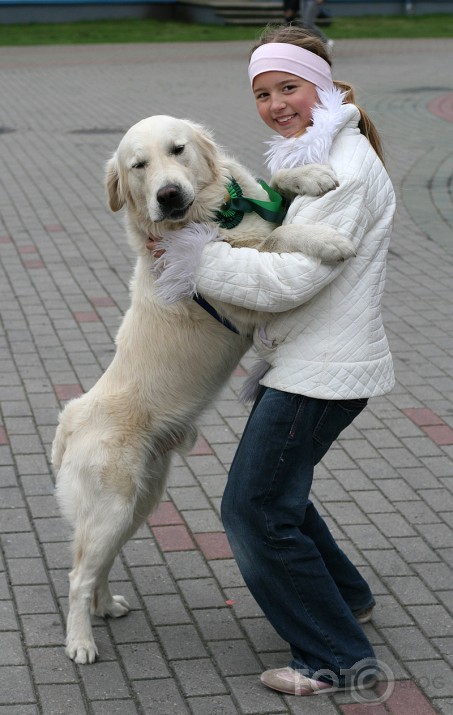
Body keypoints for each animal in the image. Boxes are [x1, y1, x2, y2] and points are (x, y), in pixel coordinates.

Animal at [51, 114, 352, 664]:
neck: (217, 216)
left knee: (98, 563)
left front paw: (310, 175)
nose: (168, 195)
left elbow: (274, 192)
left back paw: (105, 606)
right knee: (78, 575)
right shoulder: (242, 300)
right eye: (138, 165)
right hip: (112, 505)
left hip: (138, 504)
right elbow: (278, 238)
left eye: (178, 150)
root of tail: (71, 418)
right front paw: (324, 238)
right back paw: (80, 641)